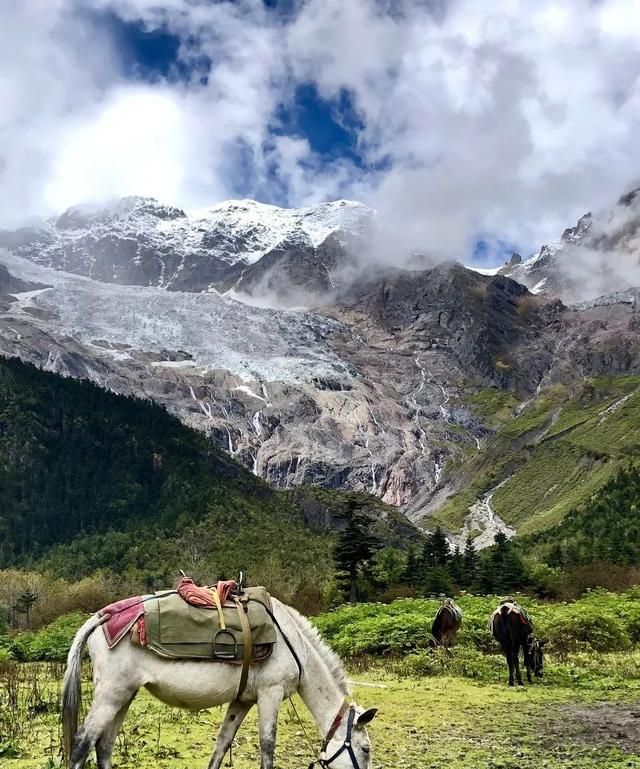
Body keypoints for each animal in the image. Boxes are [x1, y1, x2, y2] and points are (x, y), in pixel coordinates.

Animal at [61, 596, 376, 768]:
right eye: (366, 749)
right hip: (111, 694)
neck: (295, 643)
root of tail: (101, 618)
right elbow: (267, 745)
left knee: (104, 746)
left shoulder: (243, 700)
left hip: (125, 695)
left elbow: (223, 743)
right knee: (82, 743)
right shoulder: (270, 694)